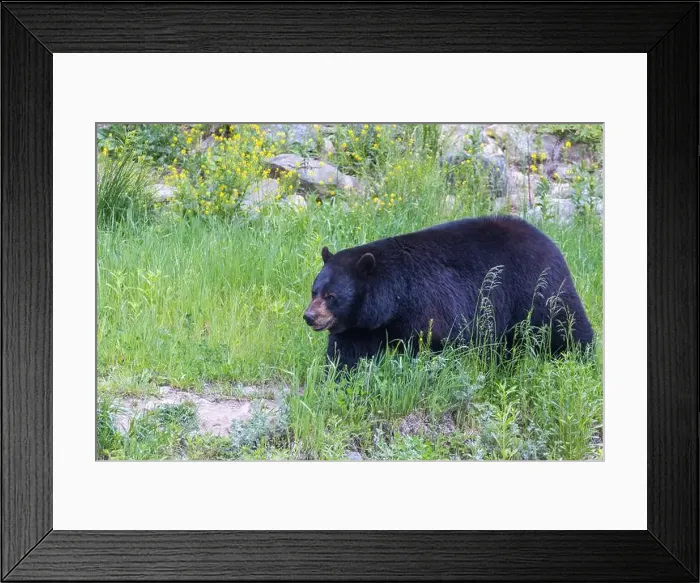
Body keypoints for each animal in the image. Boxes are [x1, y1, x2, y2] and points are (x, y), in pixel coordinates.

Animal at [303, 216, 594, 370]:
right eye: (314, 291)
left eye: (331, 296)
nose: (309, 316)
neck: (394, 301)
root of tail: (549, 242)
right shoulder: (361, 325)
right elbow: (347, 353)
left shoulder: (431, 305)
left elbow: (436, 343)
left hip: (537, 289)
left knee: (564, 326)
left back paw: (580, 358)